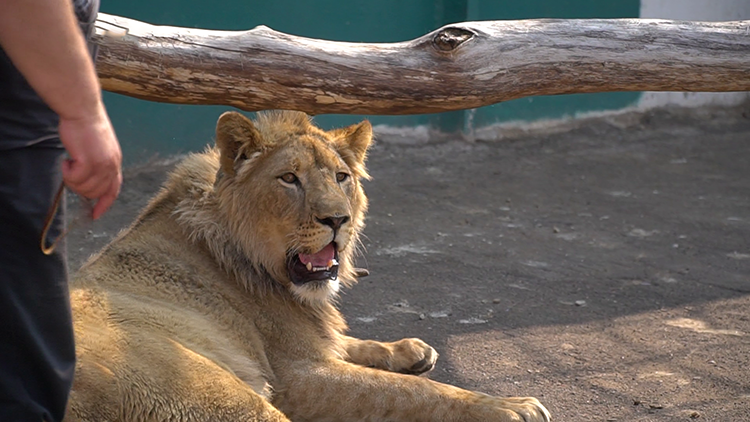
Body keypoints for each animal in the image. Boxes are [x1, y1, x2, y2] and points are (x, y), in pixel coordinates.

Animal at [66, 110, 552, 420]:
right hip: (224, 396)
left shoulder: (313, 345)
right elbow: (410, 391)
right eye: (289, 178)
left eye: (341, 177)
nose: (337, 219)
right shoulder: (296, 377)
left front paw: (409, 349)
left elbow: (350, 342)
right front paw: (510, 407)